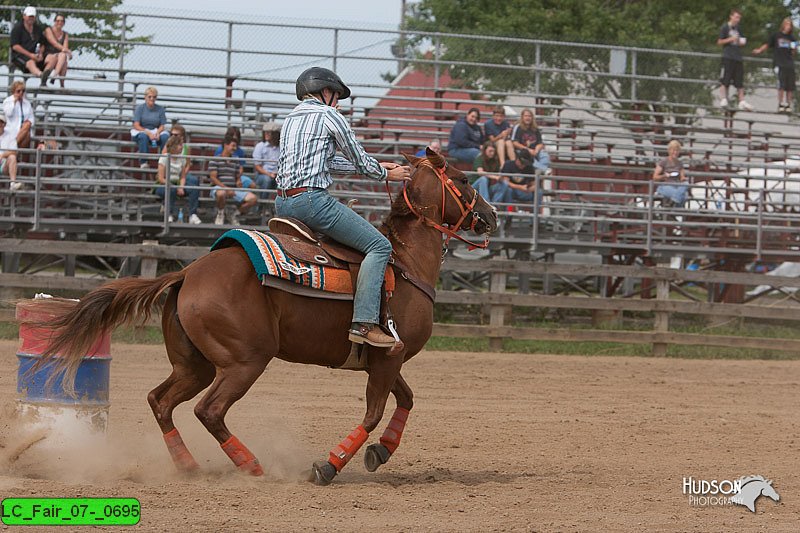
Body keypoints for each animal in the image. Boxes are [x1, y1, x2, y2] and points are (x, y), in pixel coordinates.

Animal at [28, 148, 496, 484]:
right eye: (464, 179)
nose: (490, 216)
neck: (403, 260)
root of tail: (186, 273)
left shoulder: (384, 359)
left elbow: (407, 399)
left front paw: (380, 452)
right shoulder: (386, 358)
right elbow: (374, 412)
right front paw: (328, 466)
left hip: (195, 364)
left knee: (161, 402)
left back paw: (189, 467)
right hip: (245, 361)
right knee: (209, 411)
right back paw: (251, 466)